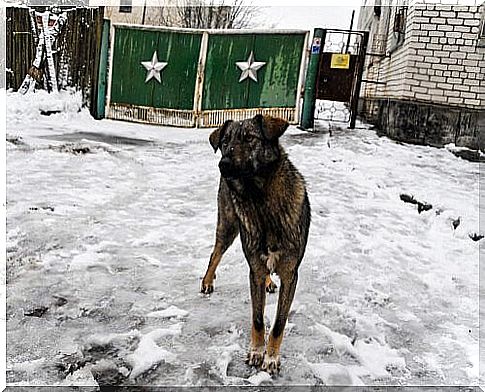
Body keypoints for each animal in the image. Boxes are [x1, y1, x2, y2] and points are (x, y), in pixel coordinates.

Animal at [199, 114, 310, 376]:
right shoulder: (255, 272)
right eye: (225, 142)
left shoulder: (290, 275)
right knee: (215, 254)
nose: (224, 164)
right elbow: (258, 319)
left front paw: (271, 357)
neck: (261, 201)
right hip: (228, 226)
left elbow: (279, 323)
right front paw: (257, 352)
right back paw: (207, 281)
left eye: (250, 138)